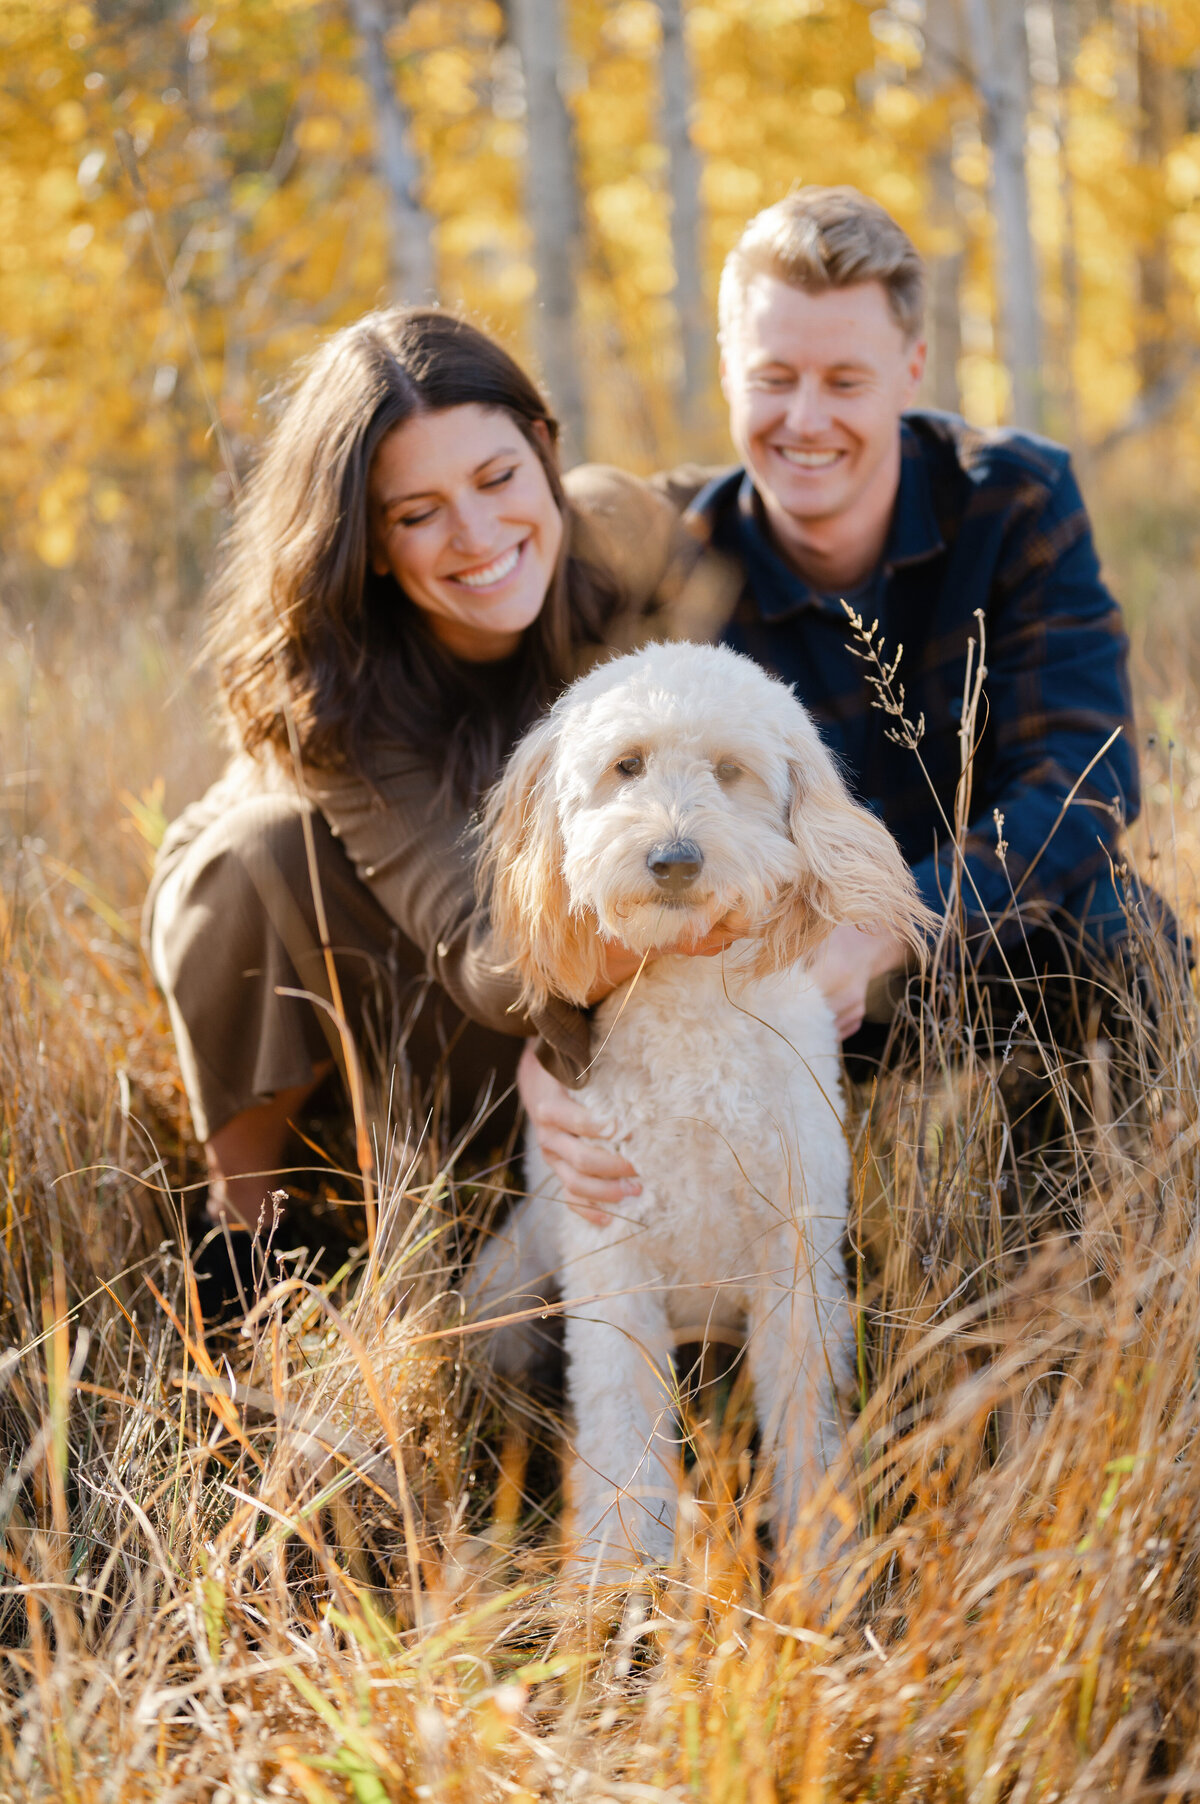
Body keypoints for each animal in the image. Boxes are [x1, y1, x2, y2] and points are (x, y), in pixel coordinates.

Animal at [469, 645, 923, 1580]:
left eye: (728, 771)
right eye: (626, 766)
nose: (674, 858)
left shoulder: (798, 1265)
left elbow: (807, 1428)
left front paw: (821, 1567)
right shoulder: (613, 1271)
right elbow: (621, 1442)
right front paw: (614, 1589)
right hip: (504, 1294)